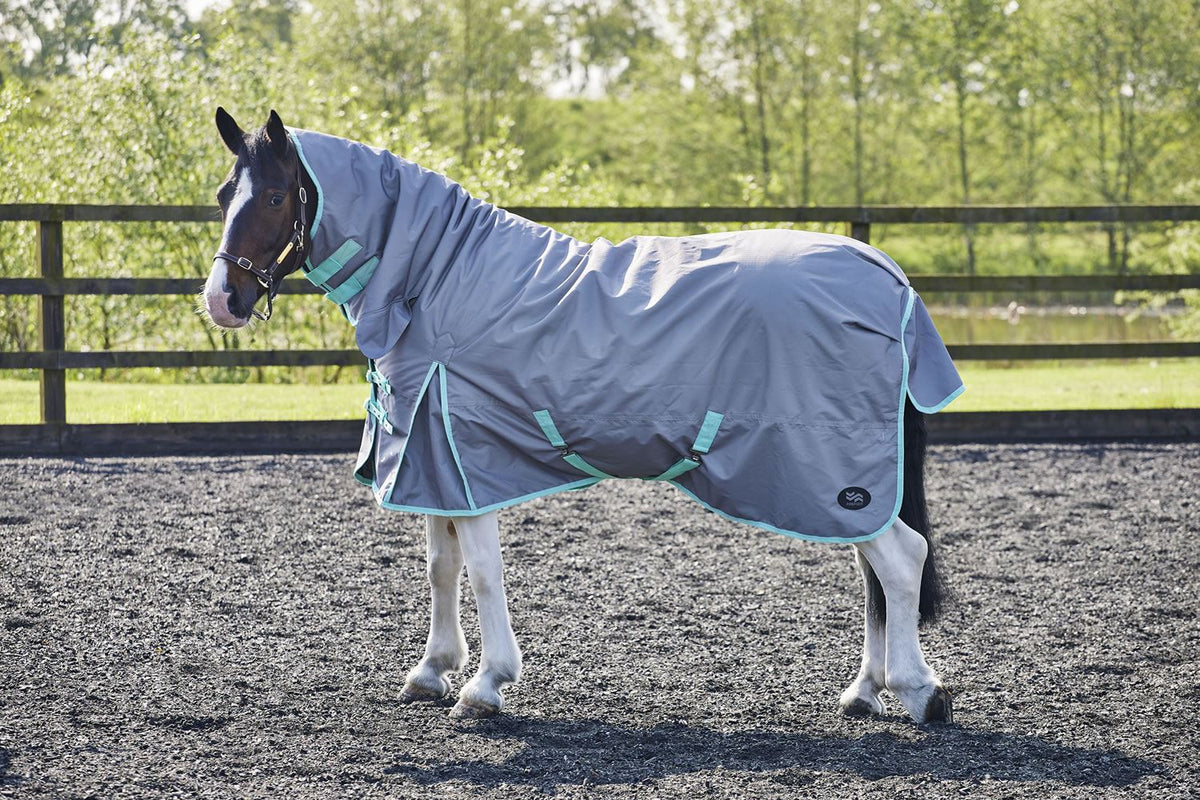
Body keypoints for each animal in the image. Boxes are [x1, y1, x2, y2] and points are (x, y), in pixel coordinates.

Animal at [203, 108, 962, 723]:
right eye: (221, 197)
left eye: (275, 195)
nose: (220, 300)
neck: (438, 279)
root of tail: (886, 275)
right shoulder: (430, 458)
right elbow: (441, 566)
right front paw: (432, 672)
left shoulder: (463, 457)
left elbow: (482, 570)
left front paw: (485, 686)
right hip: (838, 488)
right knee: (873, 568)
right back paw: (863, 693)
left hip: (830, 478)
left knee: (900, 561)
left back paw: (919, 691)